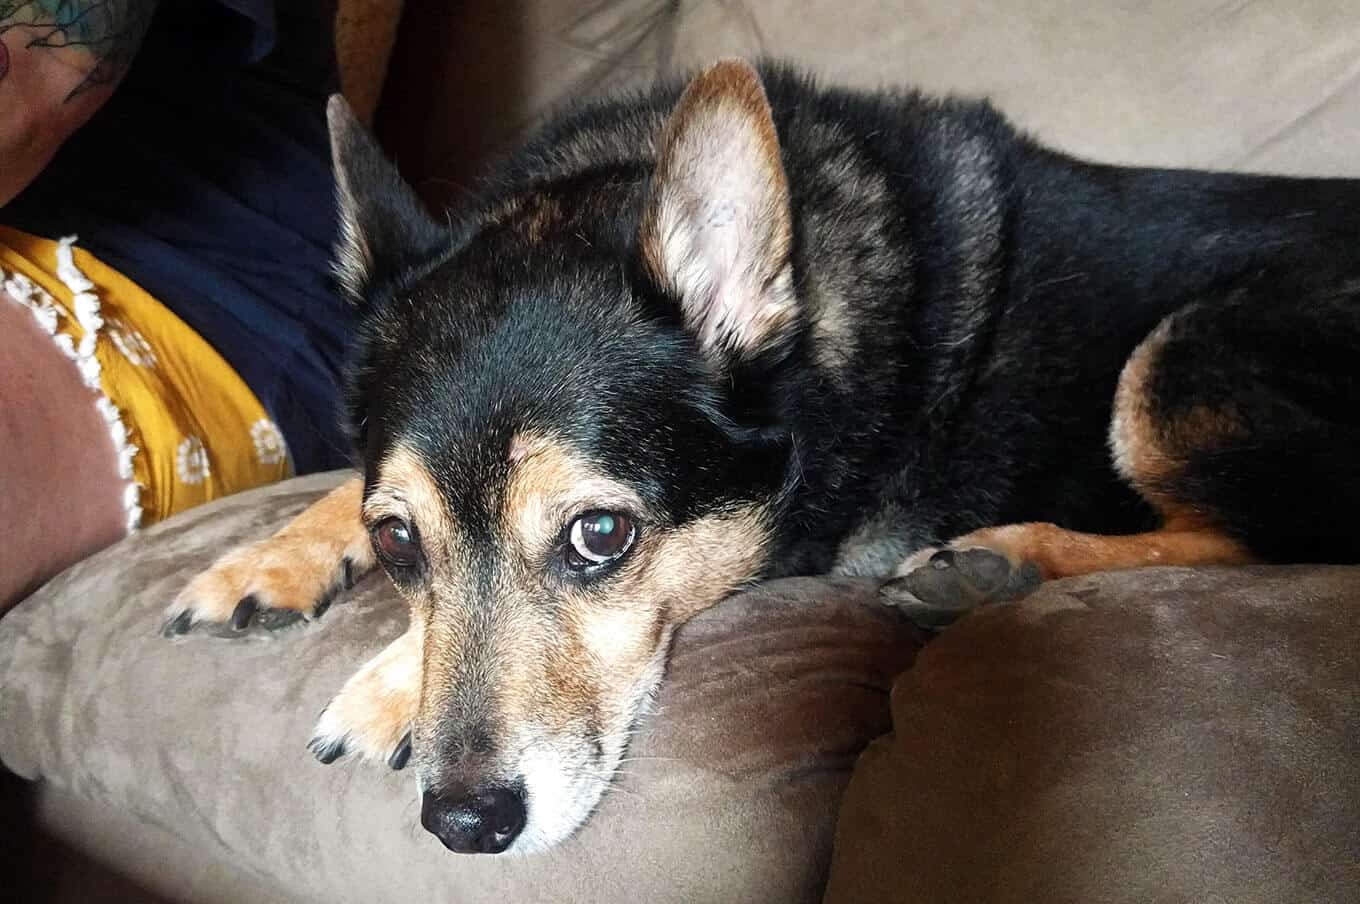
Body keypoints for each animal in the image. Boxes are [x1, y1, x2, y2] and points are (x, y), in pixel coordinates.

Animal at [164, 58, 1360, 853]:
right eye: (397, 541)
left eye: (601, 535)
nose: (464, 824)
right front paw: (263, 562)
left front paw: (383, 686)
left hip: (1177, 359)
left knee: (1273, 534)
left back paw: (1005, 563)